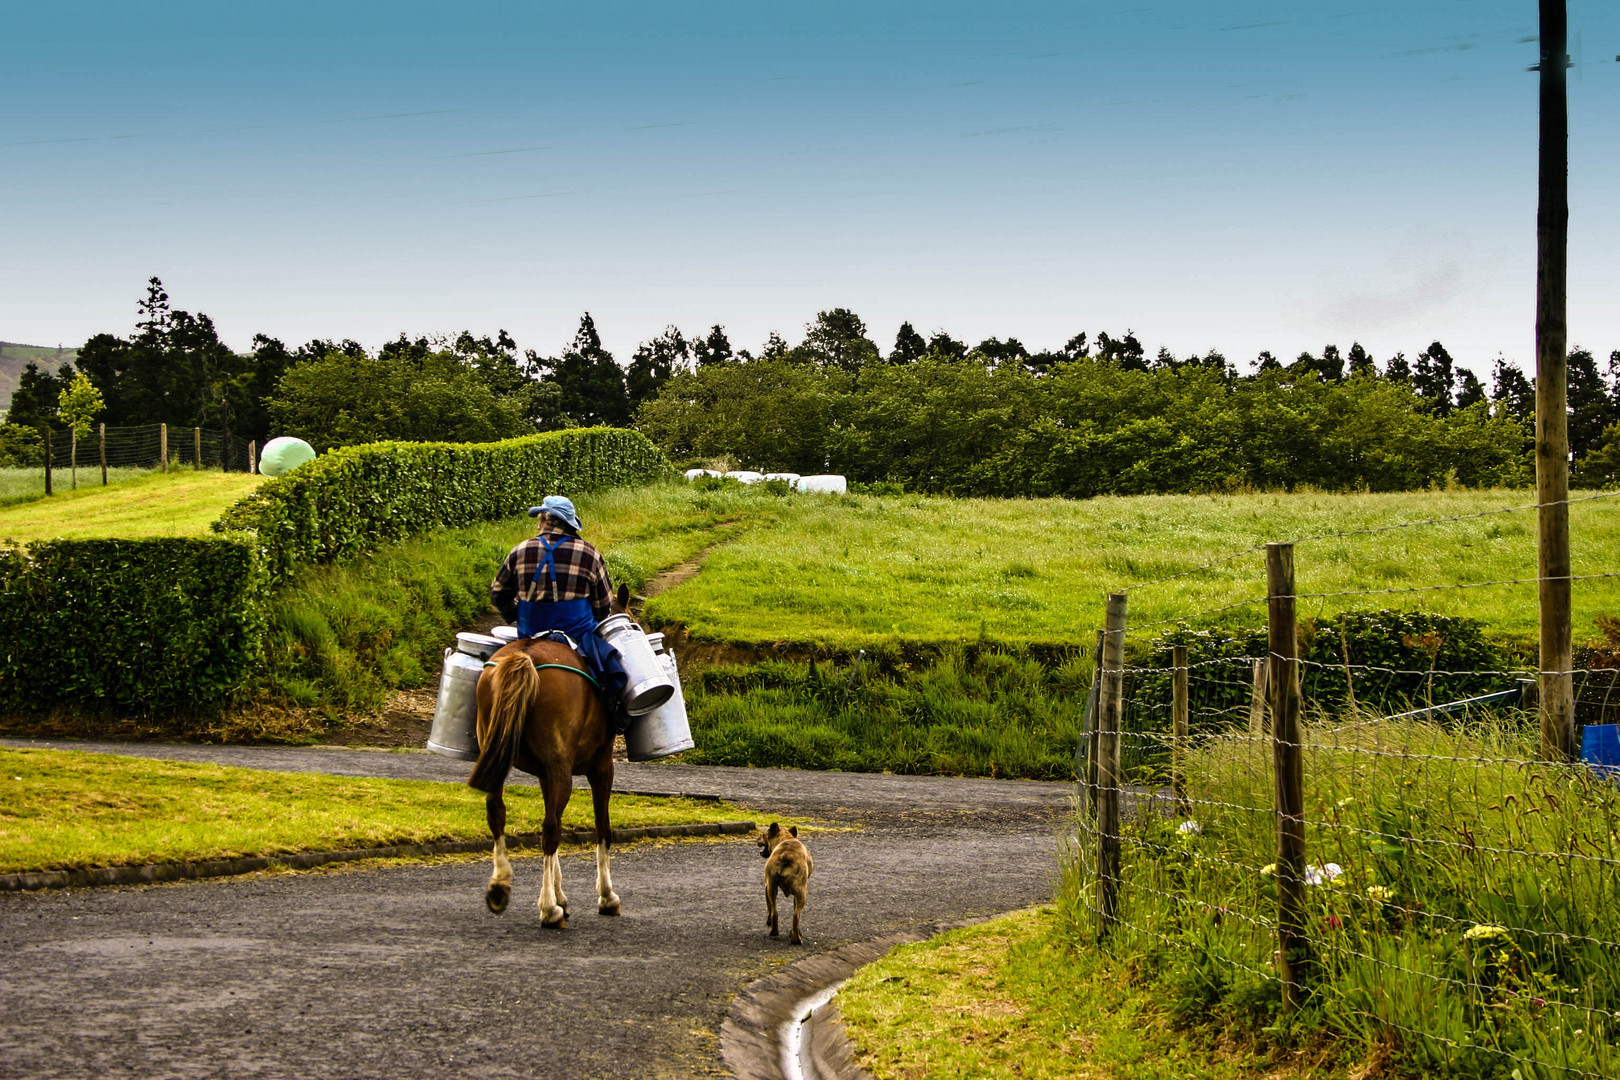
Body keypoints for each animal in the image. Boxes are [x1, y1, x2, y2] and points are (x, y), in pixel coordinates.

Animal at [469, 586, 631, 926]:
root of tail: (525, 656)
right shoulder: (600, 767)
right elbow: (602, 828)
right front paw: (605, 897)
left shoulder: (546, 773)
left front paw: (563, 896)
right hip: (562, 768)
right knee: (550, 830)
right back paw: (548, 909)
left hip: (501, 758)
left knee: (497, 814)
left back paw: (500, 888)